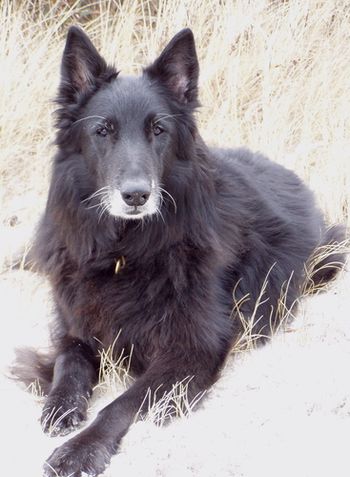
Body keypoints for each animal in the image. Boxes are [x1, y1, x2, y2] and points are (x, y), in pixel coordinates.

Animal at [15, 27, 344, 476]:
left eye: (158, 130)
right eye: (103, 131)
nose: (136, 195)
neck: (124, 253)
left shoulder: (190, 350)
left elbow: (120, 404)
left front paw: (80, 449)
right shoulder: (74, 324)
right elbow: (69, 364)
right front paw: (60, 406)